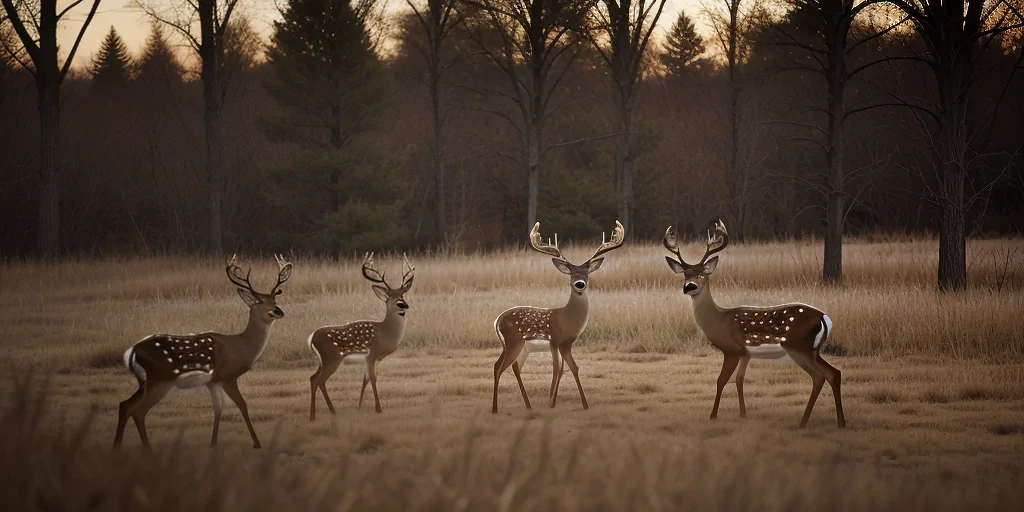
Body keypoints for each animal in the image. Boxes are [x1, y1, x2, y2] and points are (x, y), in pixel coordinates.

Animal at [114, 254, 292, 449]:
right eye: (259, 301)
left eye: (274, 300)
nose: (278, 311)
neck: (242, 347)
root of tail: (132, 351)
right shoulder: (228, 376)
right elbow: (242, 405)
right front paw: (257, 443)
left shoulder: (213, 381)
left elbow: (218, 409)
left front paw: (213, 443)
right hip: (160, 379)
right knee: (138, 411)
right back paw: (147, 449)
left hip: (145, 381)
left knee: (125, 405)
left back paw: (117, 446)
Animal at [307, 253, 414, 419]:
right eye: (390, 296)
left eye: (402, 294)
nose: (404, 305)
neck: (385, 333)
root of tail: (311, 338)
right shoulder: (372, 354)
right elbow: (373, 379)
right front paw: (378, 408)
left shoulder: (371, 359)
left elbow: (365, 380)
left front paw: (359, 406)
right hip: (332, 358)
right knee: (320, 380)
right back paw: (332, 411)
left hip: (323, 360)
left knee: (313, 378)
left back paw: (313, 416)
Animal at [491, 220, 625, 414]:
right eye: (571, 274)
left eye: (587, 274)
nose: (579, 284)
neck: (567, 319)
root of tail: (497, 320)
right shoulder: (554, 340)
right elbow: (557, 370)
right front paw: (551, 403)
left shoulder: (566, 344)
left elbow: (572, 368)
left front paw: (582, 404)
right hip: (514, 342)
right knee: (501, 367)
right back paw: (495, 409)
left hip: (520, 347)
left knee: (507, 366)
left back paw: (527, 405)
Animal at [662, 220, 845, 428]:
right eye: (685, 274)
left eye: (702, 274)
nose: (689, 287)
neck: (719, 320)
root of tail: (825, 318)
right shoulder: (745, 353)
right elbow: (739, 380)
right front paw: (743, 414)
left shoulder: (732, 350)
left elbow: (721, 380)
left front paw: (713, 415)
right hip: (813, 350)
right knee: (834, 373)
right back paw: (840, 422)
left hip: (798, 347)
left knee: (819, 376)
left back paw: (803, 422)